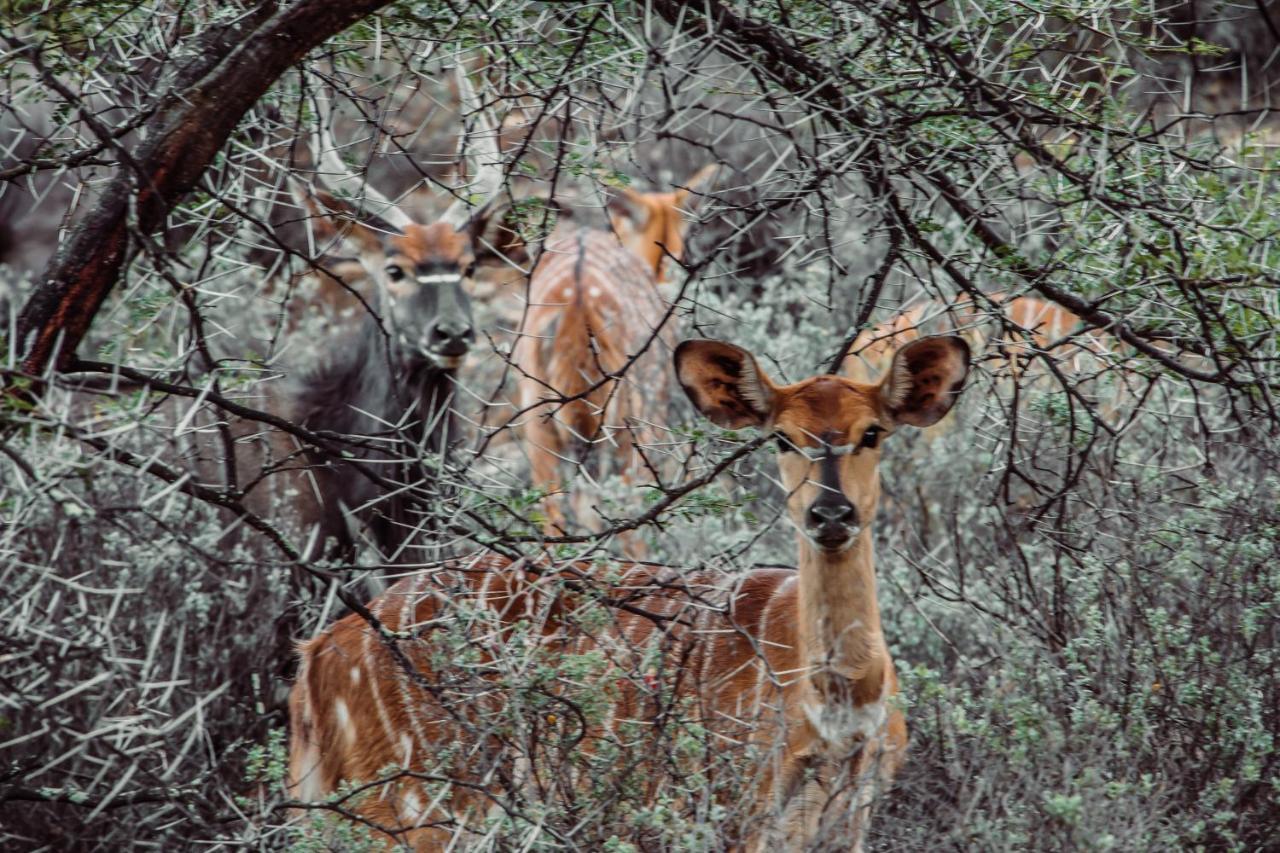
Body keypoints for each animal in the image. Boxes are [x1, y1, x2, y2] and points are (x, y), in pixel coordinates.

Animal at [288, 330, 967, 845]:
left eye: (873, 431)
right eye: (782, 437)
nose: (830, 514)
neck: (841, 704)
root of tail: (315, 659)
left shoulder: (852, 815)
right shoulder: (742, 809)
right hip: (410, 801)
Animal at [512, 165, 716, 535]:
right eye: (678, 250)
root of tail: (576, 309)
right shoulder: (656, 405)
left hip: (537, 412)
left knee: (553, 508)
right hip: (628, 415)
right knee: (620, 509)